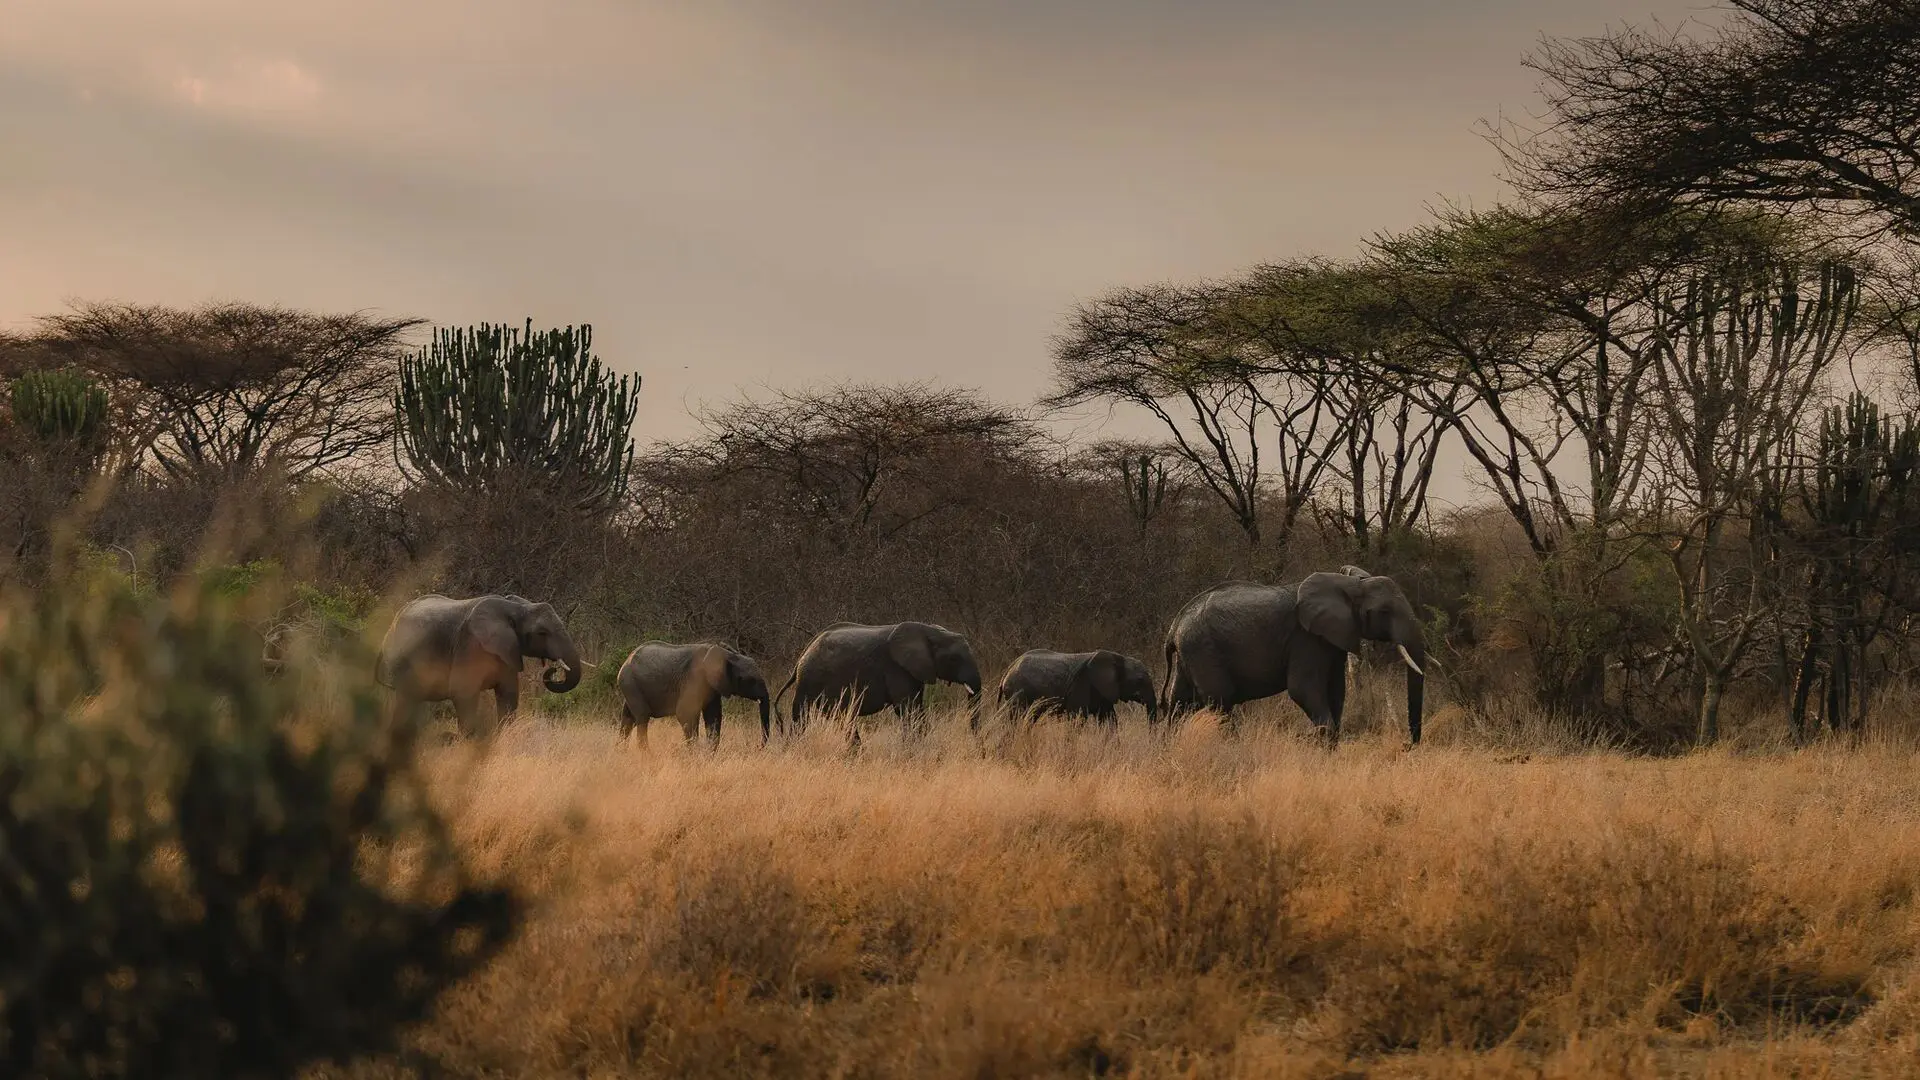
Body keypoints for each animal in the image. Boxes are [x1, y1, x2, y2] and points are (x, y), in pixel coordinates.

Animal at [375, 593, 584, 737]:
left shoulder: (507, 651)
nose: (553, 668)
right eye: (542, 633)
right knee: (403, 702)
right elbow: (462, 692)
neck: (515, 608)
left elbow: (508, 694)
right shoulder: (470, 645)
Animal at [616, 641, 771, 748]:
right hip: (631, 684)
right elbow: (685, 714)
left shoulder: (711, 687)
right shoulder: (693, 680)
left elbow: (713, 716)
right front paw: (694, 755)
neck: (725, 653)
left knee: (628, 719)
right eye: (750, 681)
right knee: (642, 717)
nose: (757, 746)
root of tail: (626, 661)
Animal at [775, 621, 983, 741]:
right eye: (954, 659)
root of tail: (800, 659)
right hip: (810, 682)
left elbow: (915, 707)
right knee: (804, 718)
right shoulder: (895, 668)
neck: (931, 631)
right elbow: (908, 709)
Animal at [996, 649, 1158, 729]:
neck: (1119, 658)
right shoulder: (1082, 684)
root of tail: (1007, 671)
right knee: (1017, 718)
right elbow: (1077, 719)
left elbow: (1110, 719)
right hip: (1018, 692)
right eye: (1140, 680)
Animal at [1161, 570, 1426, 744]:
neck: (1350, 584)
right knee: (1220, 700)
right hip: (1203, 649)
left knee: (1181, 703)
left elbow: (1337, 690)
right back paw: (1233, 748)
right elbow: (1302, 689)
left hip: (1191, 653)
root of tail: (1174, 627)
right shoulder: (1306, 638)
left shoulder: (1332, 638)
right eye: (1385, 612)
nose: (1406, 745)